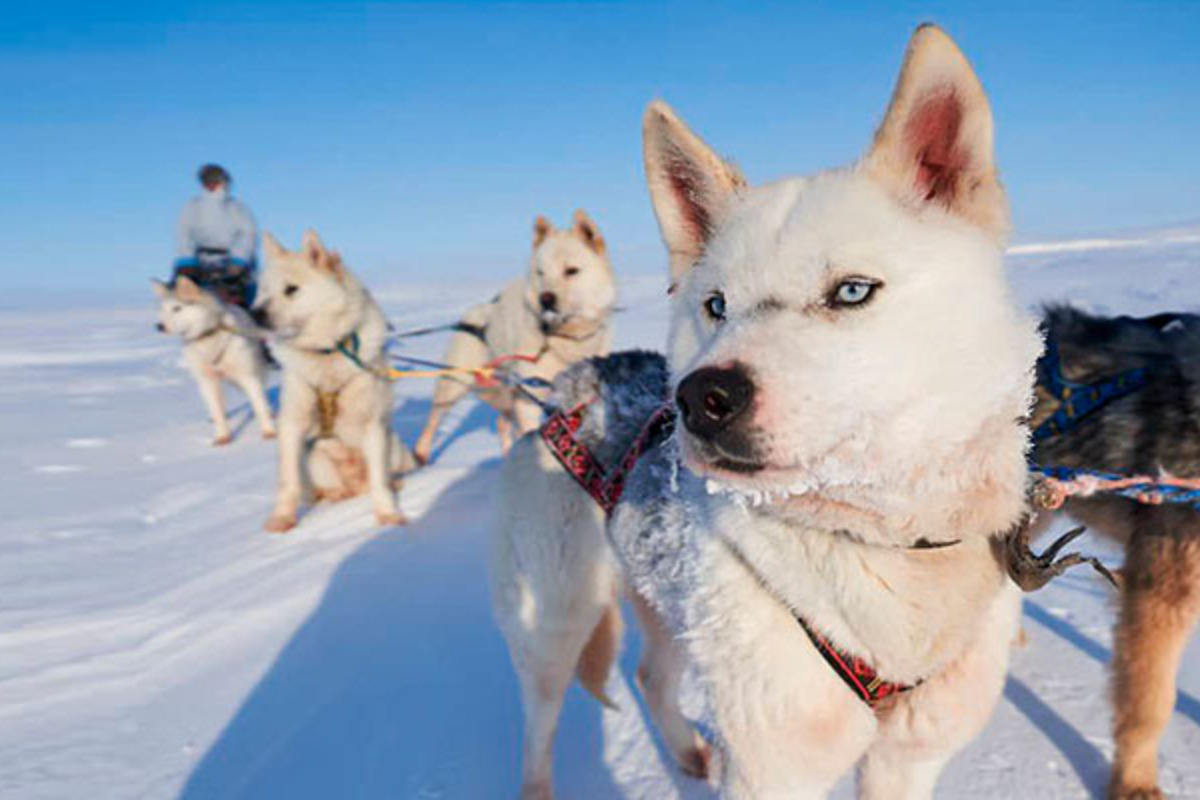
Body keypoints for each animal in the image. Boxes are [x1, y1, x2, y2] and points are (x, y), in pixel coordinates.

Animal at [152, 277, 276, 448]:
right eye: (162, 309)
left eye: (177, 308)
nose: (159, 326)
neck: (208, 335)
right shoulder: (207, 381)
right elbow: (218, 413)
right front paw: (223, 436)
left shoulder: (248, 377)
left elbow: (259, 406)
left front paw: (269, 432)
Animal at [259, 230, 417, 532]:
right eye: (263, 292)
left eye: (291, 289)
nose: (255, 313)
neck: (328, 352)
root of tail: (355, 483)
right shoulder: (292, 425)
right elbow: (288, 482)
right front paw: (282, 518)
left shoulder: (371, 426)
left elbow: (379, 482)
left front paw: (387, 514)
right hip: (314, 459)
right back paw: (336, 493)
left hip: (392, 445)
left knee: (385, 476)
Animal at [415, 209, 619, 465]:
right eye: (541, 273)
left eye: (571, 270)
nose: (545, 299)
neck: (564, 338)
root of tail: (472, 315)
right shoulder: (530, 400)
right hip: (456, 384)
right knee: (435, 416)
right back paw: (421, 452)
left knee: (502, 423)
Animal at [492, 26, 1046, 800]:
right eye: (716, 305)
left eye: (851, 291)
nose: (701, 399)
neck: (880, 543)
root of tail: (566, 387)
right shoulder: (772, 768)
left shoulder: (909, 757)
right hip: (554, 625)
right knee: (540, 722)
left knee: (649, 674)